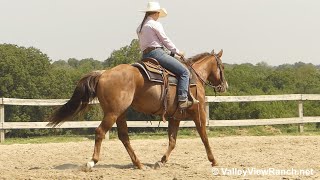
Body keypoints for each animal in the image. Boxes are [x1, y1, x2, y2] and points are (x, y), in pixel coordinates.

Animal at [47, 48, 228, 171]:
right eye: (222, 67)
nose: (225, 85)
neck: (194, 78)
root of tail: (103, 74)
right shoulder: (199, 113)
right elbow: (204, 137)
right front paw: (213, 160)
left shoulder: (175, 117)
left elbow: (172, 141)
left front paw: (160, 161)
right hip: (112, 113)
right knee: (100, 132)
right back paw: (92, 162)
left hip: (120, 113)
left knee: (124, 136)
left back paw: (139, 164)